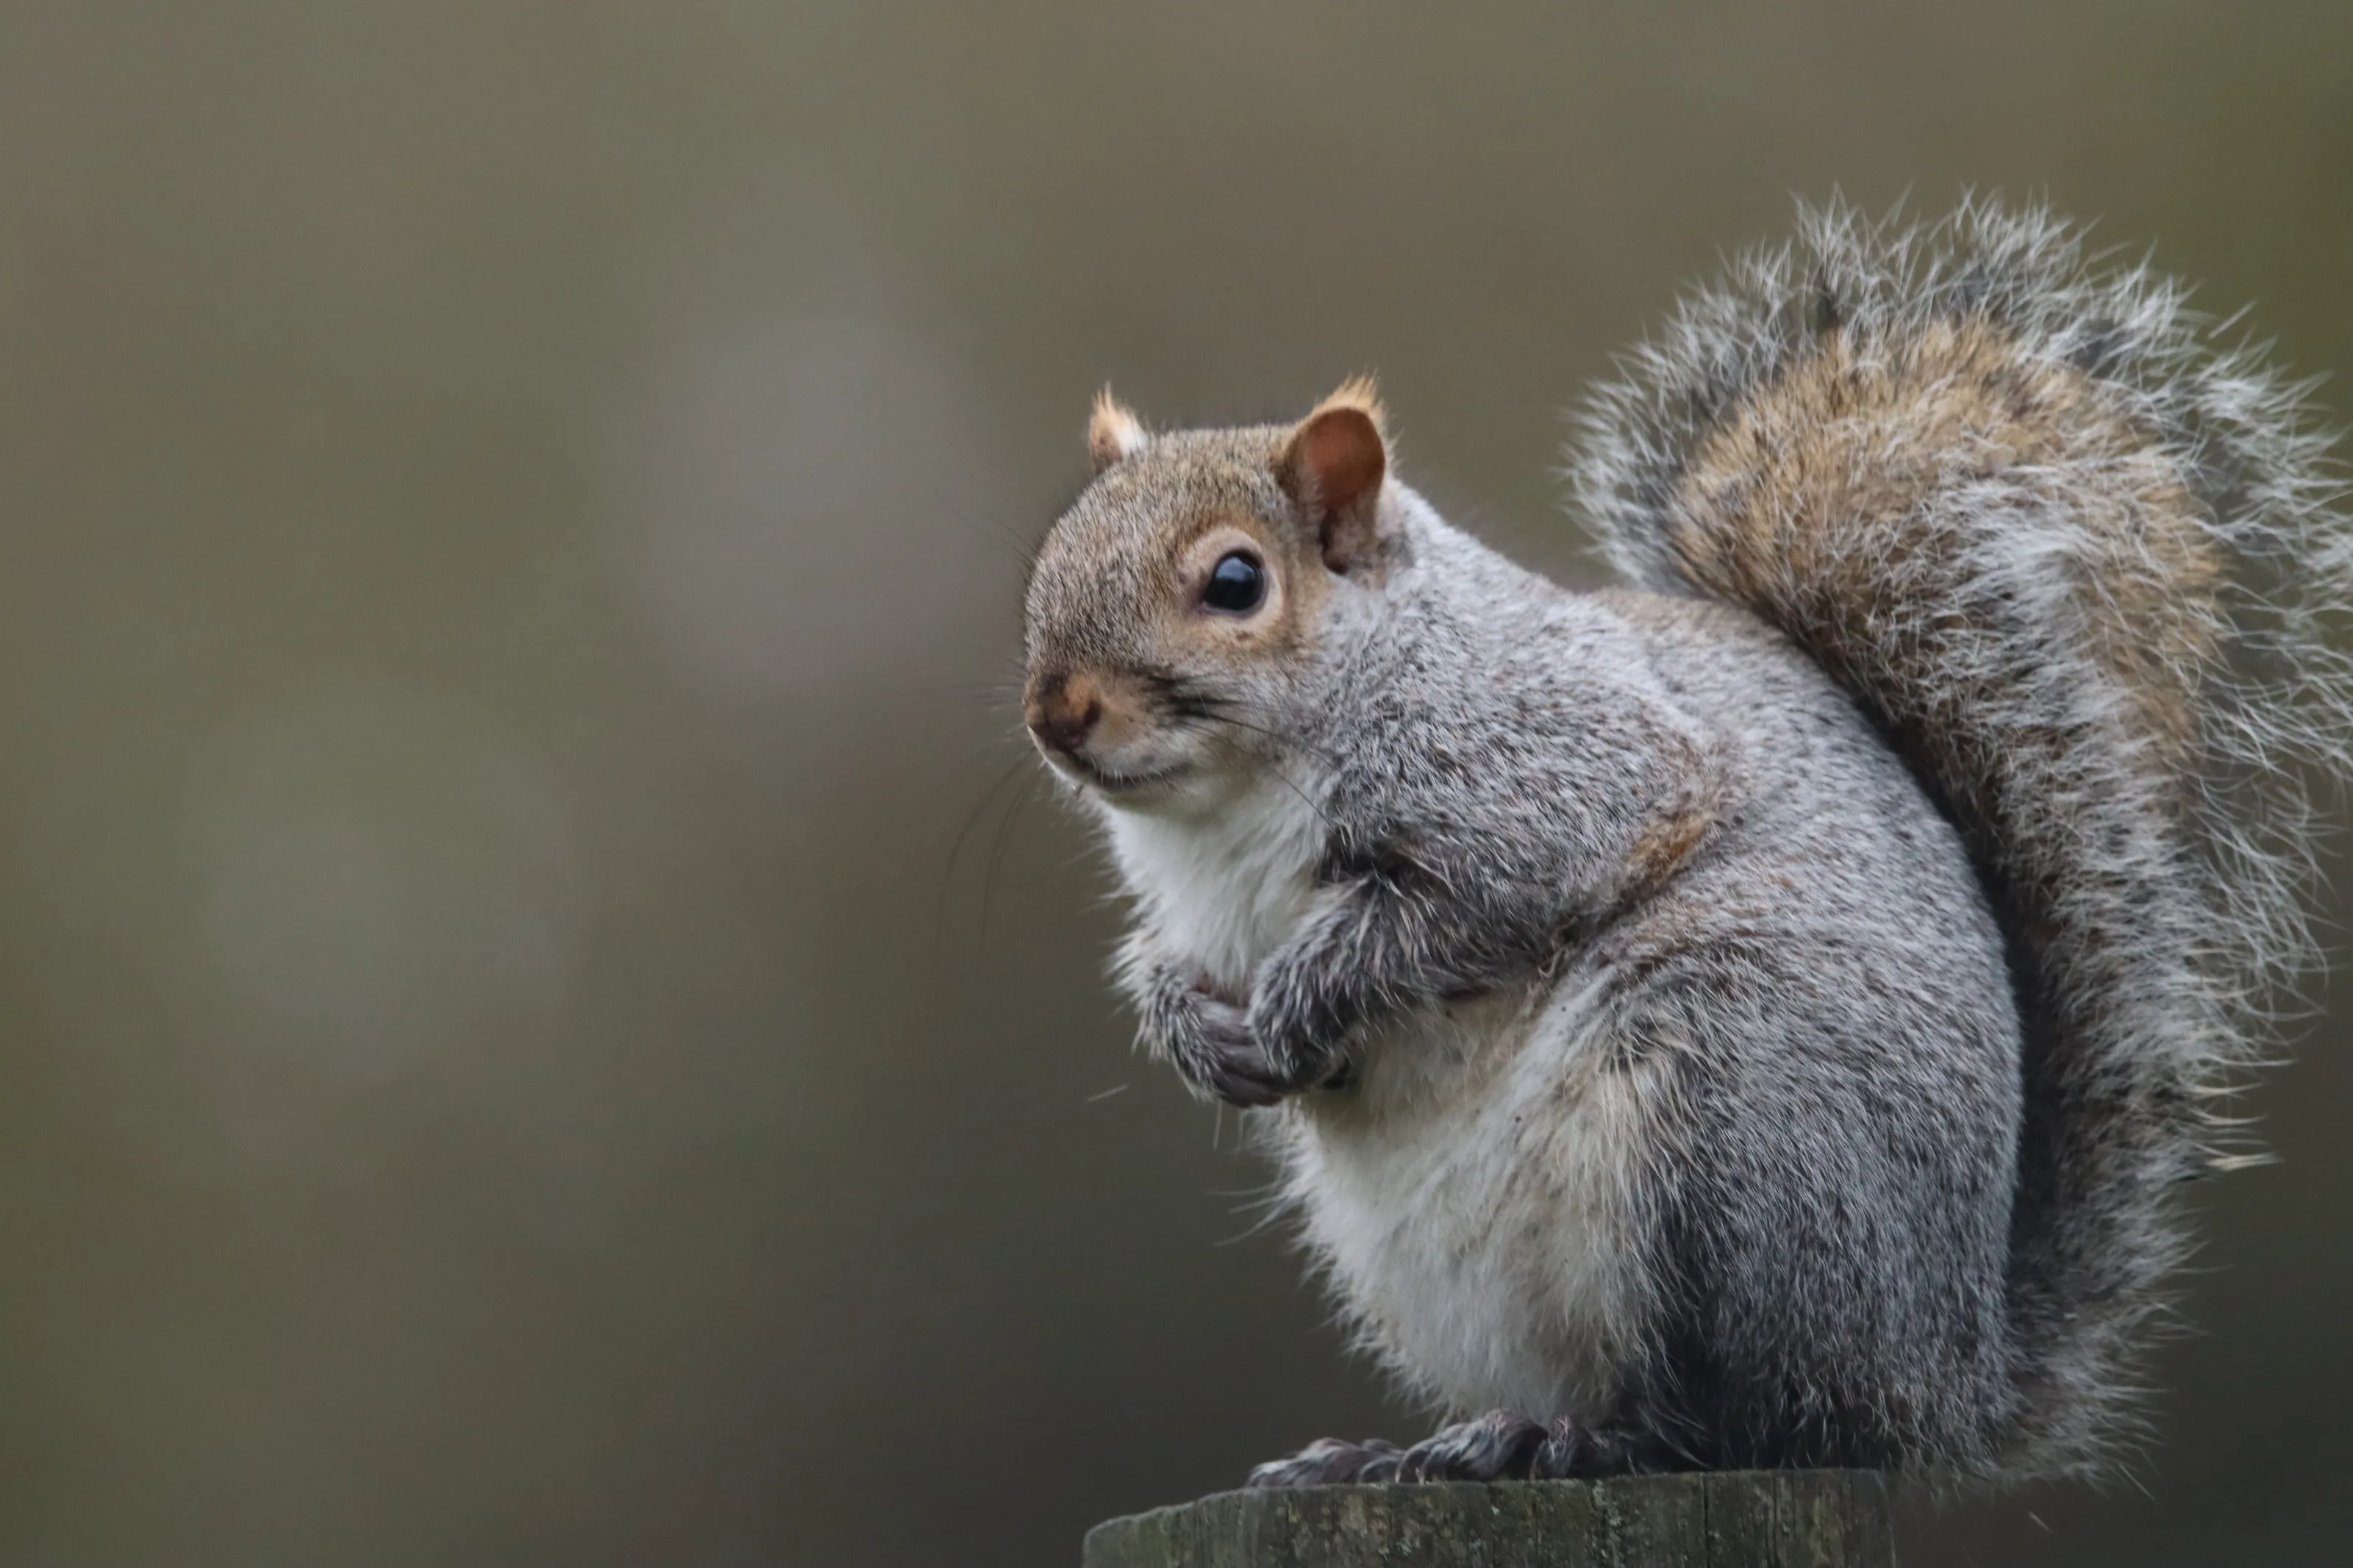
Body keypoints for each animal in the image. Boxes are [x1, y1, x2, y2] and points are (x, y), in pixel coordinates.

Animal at [1019, 200, 2350, 1486]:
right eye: (1049, 560)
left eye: (1235, 582)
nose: (1056, 712)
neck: (1226, 809)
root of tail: (1949, 1378)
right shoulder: (1200, 906)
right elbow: (1174, 964)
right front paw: (1191, 1029)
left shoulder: (1558, 766)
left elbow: (1463, 901)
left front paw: (1307, 990)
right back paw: (1404, 1450)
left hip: (1725, 1129)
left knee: (1747, 1412)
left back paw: (1581, 1442)